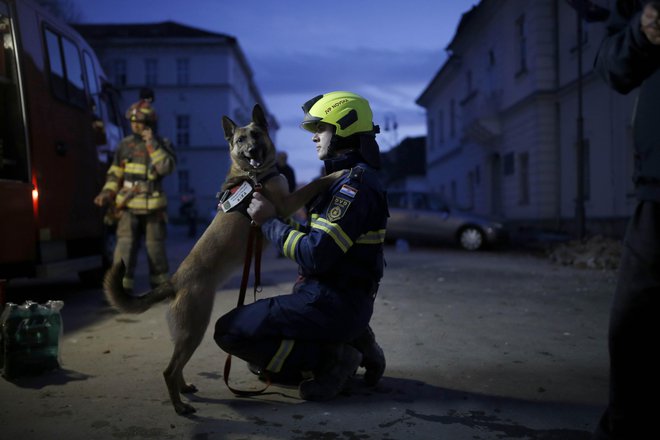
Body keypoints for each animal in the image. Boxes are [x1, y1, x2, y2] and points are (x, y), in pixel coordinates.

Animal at [104, 105, 340, 414]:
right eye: (240, 140)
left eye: (256, 135)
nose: (251, 150)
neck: (253, 174)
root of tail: (174, 281)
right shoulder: (286, 204)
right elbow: (313, 184)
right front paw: (336, 174)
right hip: (195, 329)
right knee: (169, 370)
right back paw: (179, 406)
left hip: (187, 334)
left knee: (177, 367)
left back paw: (184, 389)